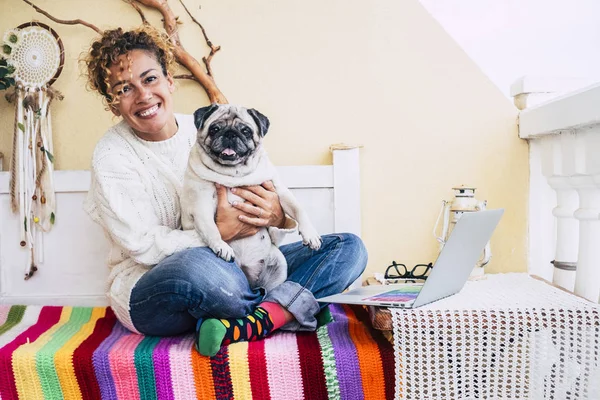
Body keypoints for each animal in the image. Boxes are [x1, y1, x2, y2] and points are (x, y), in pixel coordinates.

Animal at [182, 103, 324, 290]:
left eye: (246, 131)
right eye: (214, 129)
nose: (230, 134)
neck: (233, 173)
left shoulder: (280, 192)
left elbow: (299, 210)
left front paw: (311, 235)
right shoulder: (202, 206)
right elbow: (212, 230)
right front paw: (221, 246)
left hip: (278, 264)